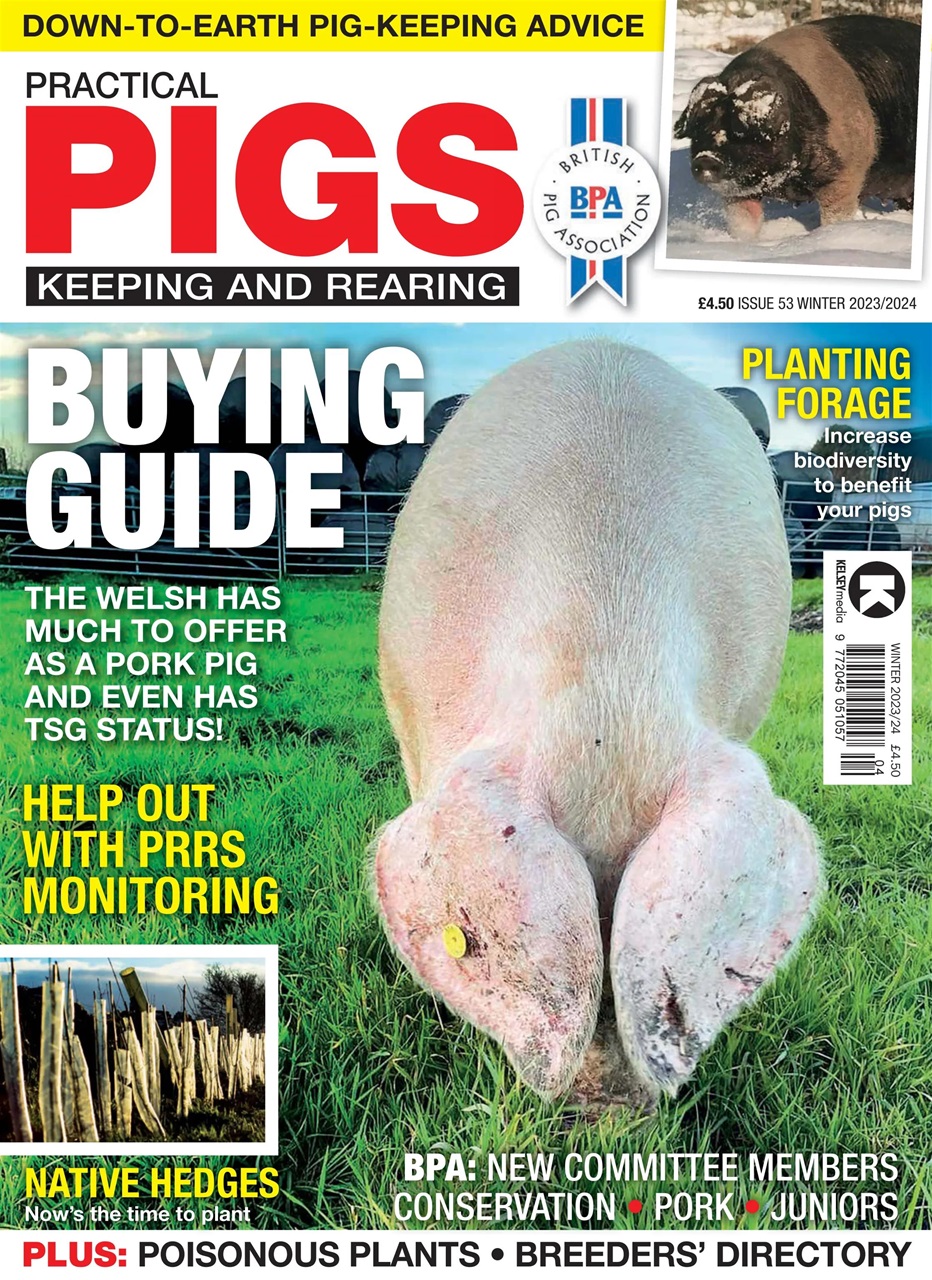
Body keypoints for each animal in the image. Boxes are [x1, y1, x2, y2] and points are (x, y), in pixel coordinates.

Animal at [673, 16, 920, 241]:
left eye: (741, 129)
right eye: (699, 128)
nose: (706, 158)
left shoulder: (848, 169)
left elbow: (836, 214)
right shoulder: (738, 192)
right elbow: (743, 220)